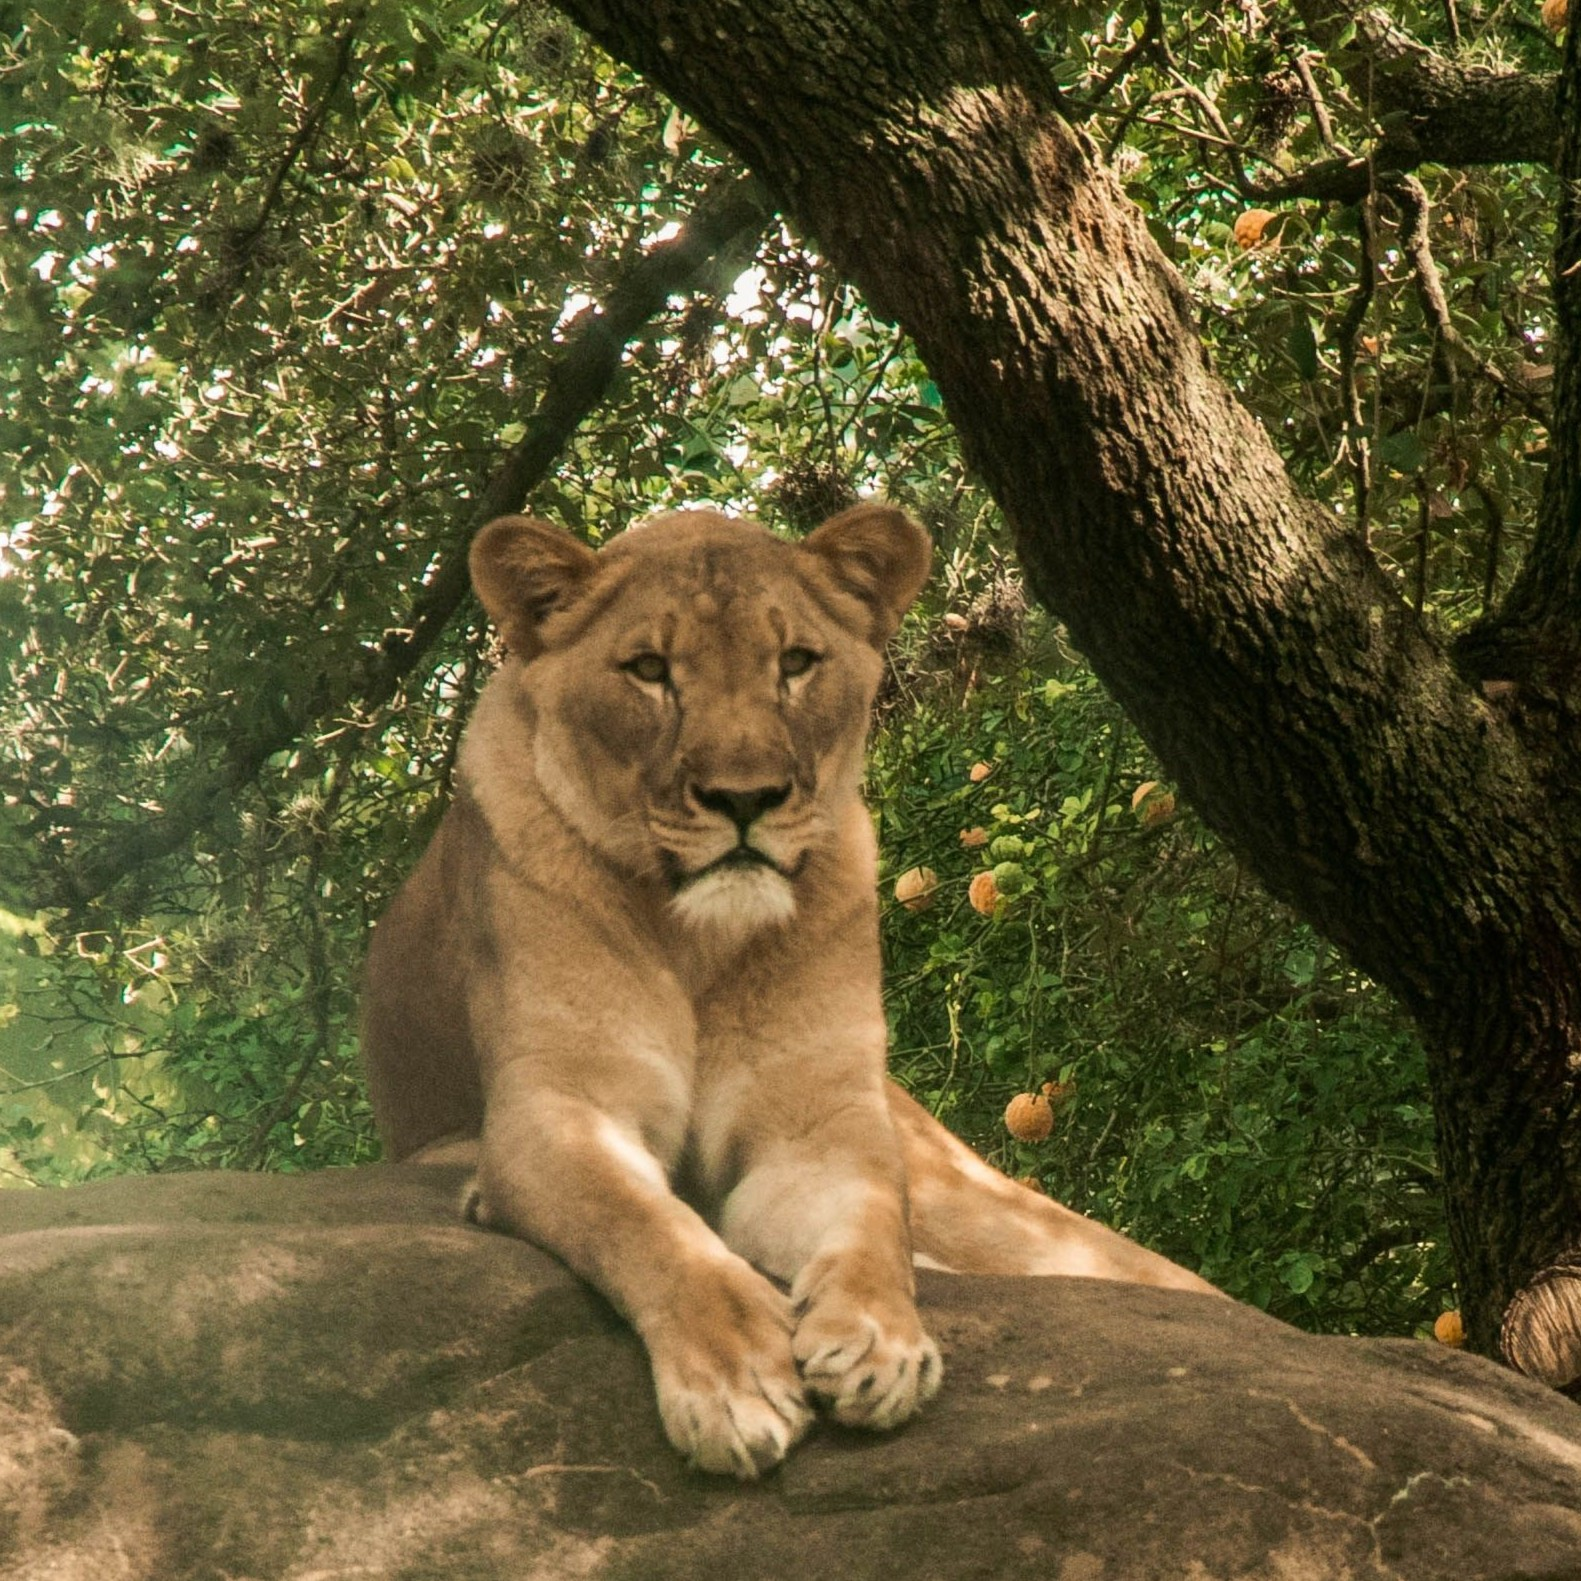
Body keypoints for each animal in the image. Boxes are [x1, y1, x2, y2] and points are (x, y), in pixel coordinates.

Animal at [361, 503, 1216, 1480]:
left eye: (796, 662)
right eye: (649, 669)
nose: (746, 798)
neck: (701, 939)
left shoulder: (817, 1123)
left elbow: (872, 1227)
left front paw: (880, 1344)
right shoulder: (556, 1105)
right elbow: (647, 1226)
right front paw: (736, 1377)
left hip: (985, 1202)